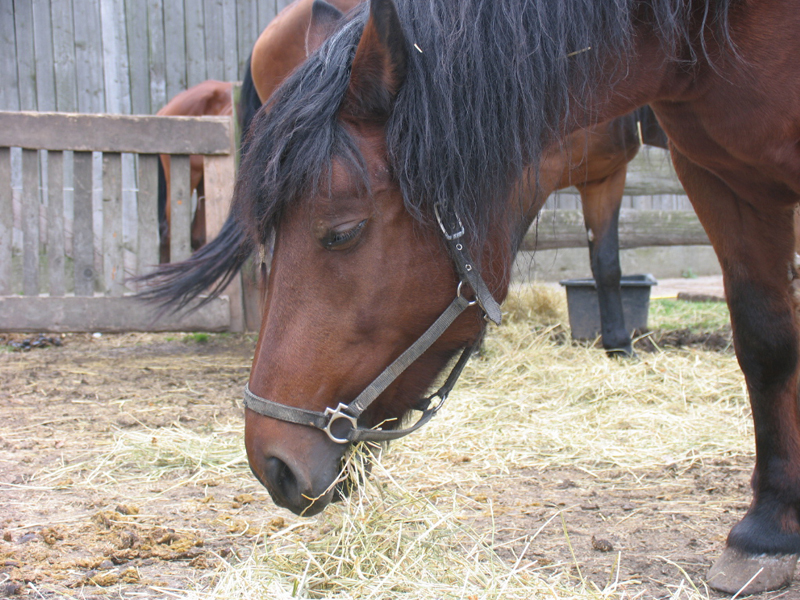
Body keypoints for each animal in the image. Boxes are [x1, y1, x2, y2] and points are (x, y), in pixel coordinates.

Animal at [141, 0, 800, 592]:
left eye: (342, 232)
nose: (271, 465)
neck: (701, 31)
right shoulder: (707, 177)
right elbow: (762, 340)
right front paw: (767, 531)